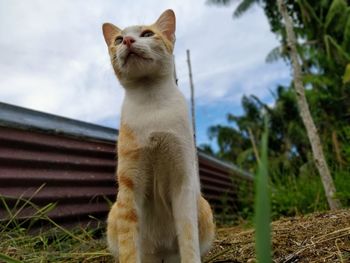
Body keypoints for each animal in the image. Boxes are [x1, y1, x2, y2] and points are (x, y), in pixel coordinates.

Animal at [102, 9, 215, 262]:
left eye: (147, 34)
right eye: (118, 40)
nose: (128, 40)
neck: (152, 101)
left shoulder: (183, 182)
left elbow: (188, 238)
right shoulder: (129, 188)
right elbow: (129, 248)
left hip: (202, 206)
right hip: (115, 210)